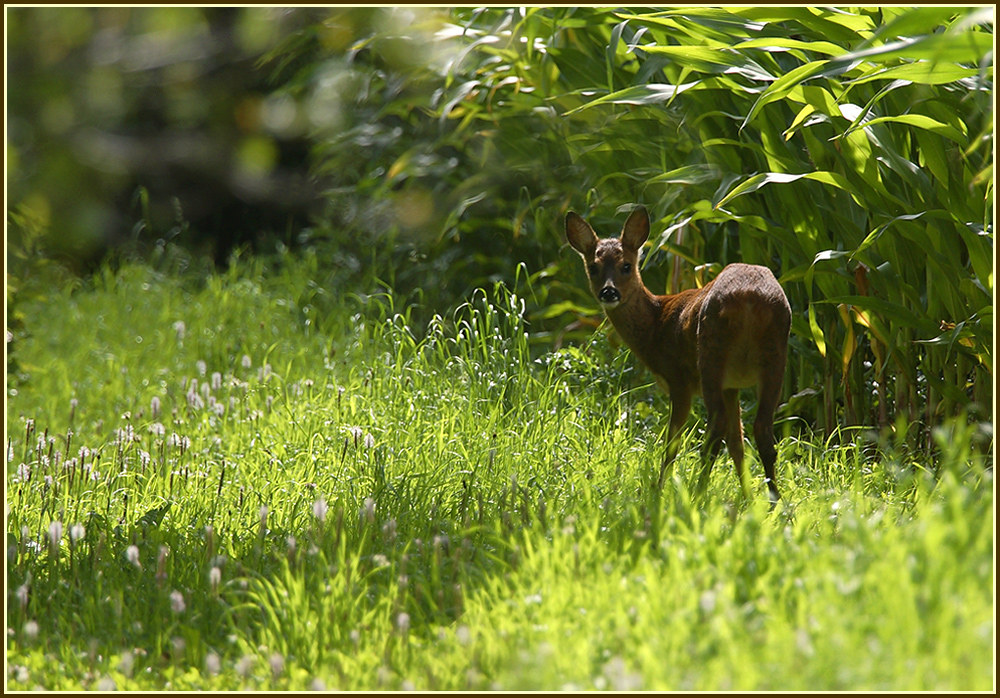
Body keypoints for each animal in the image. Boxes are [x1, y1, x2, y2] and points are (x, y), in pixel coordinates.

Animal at [568, 204, 792, 502]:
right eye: (593, 267)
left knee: (716, 426)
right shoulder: (732, 386)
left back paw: (697, 495)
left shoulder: (678, 380)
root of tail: (749, 297)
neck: (656, 324)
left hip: (710, 353)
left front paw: (658, 491)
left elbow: (672, 443)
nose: (608, 292)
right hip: (776, 353)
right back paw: (776, 502)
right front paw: (746, 497)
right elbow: (737, 444)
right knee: (762, 429)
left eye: (626, 265)